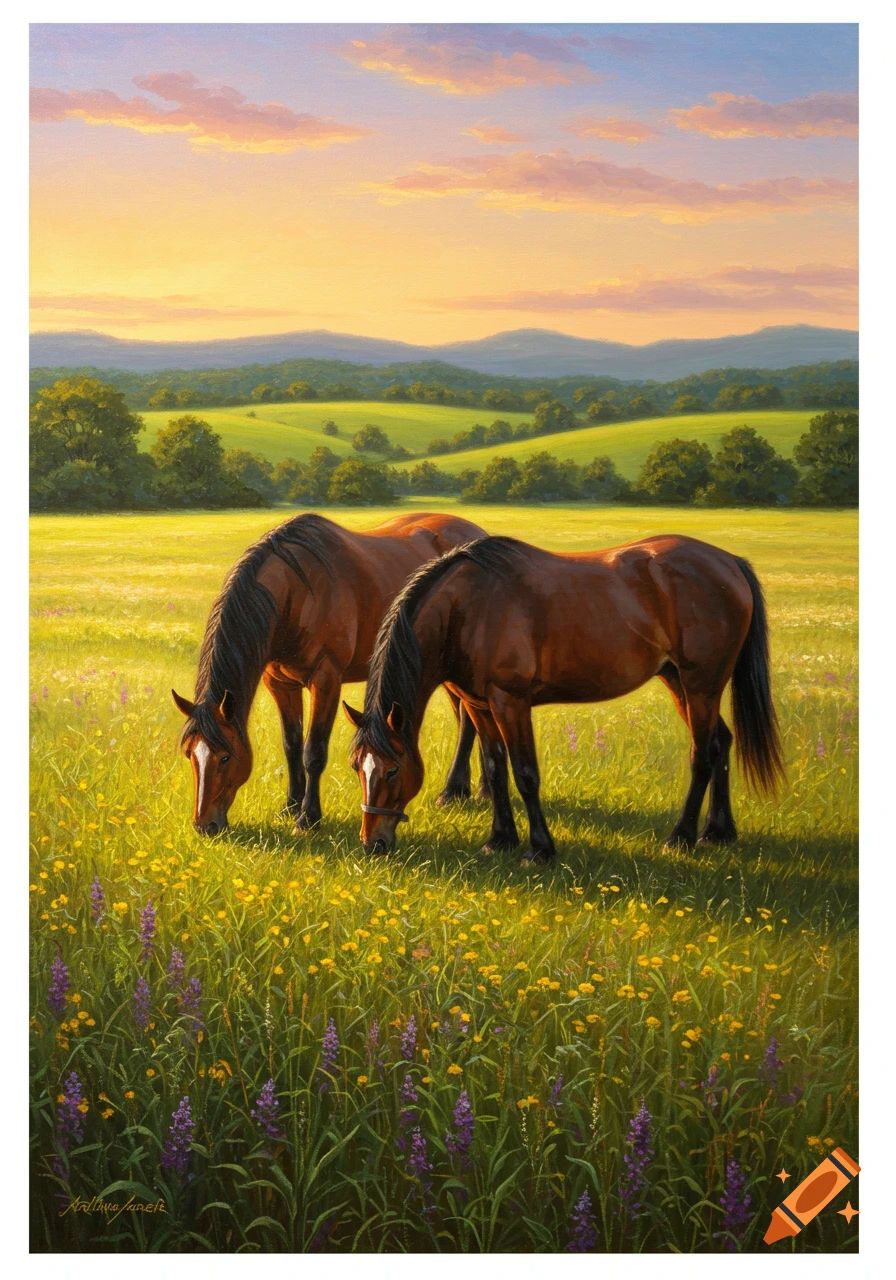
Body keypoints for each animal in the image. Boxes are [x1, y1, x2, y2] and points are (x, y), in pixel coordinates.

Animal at [172, 511, 488, 836]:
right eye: (189, 753)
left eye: (224, 757)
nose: (204, 825)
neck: (296, 592)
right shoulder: (280, 683)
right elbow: (291, 744)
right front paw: (290, 805)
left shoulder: (326, 681)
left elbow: (314, 751)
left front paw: (308, 817)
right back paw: (474, 791)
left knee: (468, 723)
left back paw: (454, 792)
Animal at [344, 533, 784, 864]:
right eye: (356, 767)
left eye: (392, 770)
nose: (372, 843)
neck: (467, 607)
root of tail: (728, 561)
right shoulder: (479, 705)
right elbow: (495, 769)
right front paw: (500, 839)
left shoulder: (511, 702)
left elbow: (525, 774)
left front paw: (539, 850)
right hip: (681, 683)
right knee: (720, 742)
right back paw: (718, 831)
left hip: (701, 684)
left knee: (703, 754)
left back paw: (682, 837)